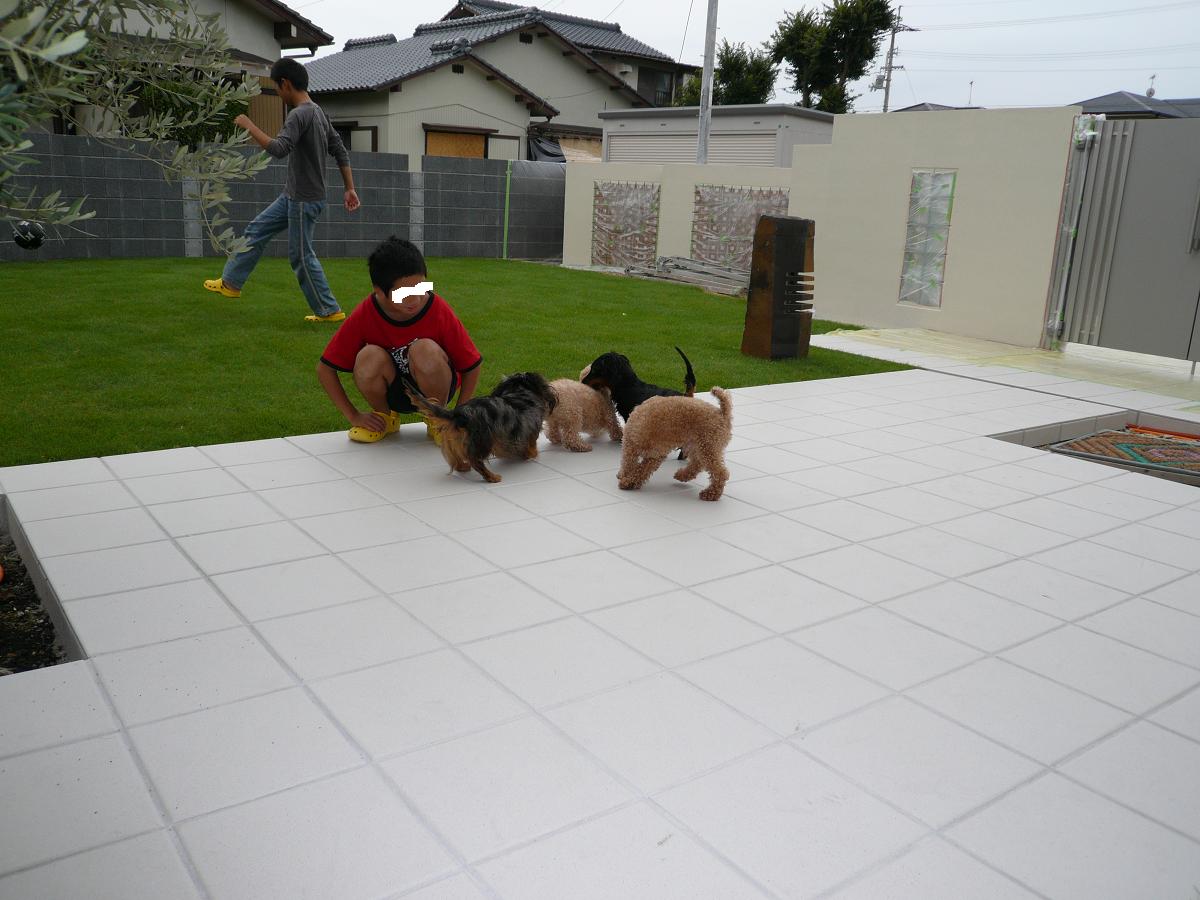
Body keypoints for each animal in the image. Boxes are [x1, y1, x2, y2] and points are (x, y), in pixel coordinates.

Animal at [404, 372, 557, 483]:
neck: (520, 392)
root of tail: (459, 414)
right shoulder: (531, 430)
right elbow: (531, 446)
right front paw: (531, 454)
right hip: (484, 441)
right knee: (476, 461)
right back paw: (492, 477)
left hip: (454, 440)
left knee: (455, 460)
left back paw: (463, 466)